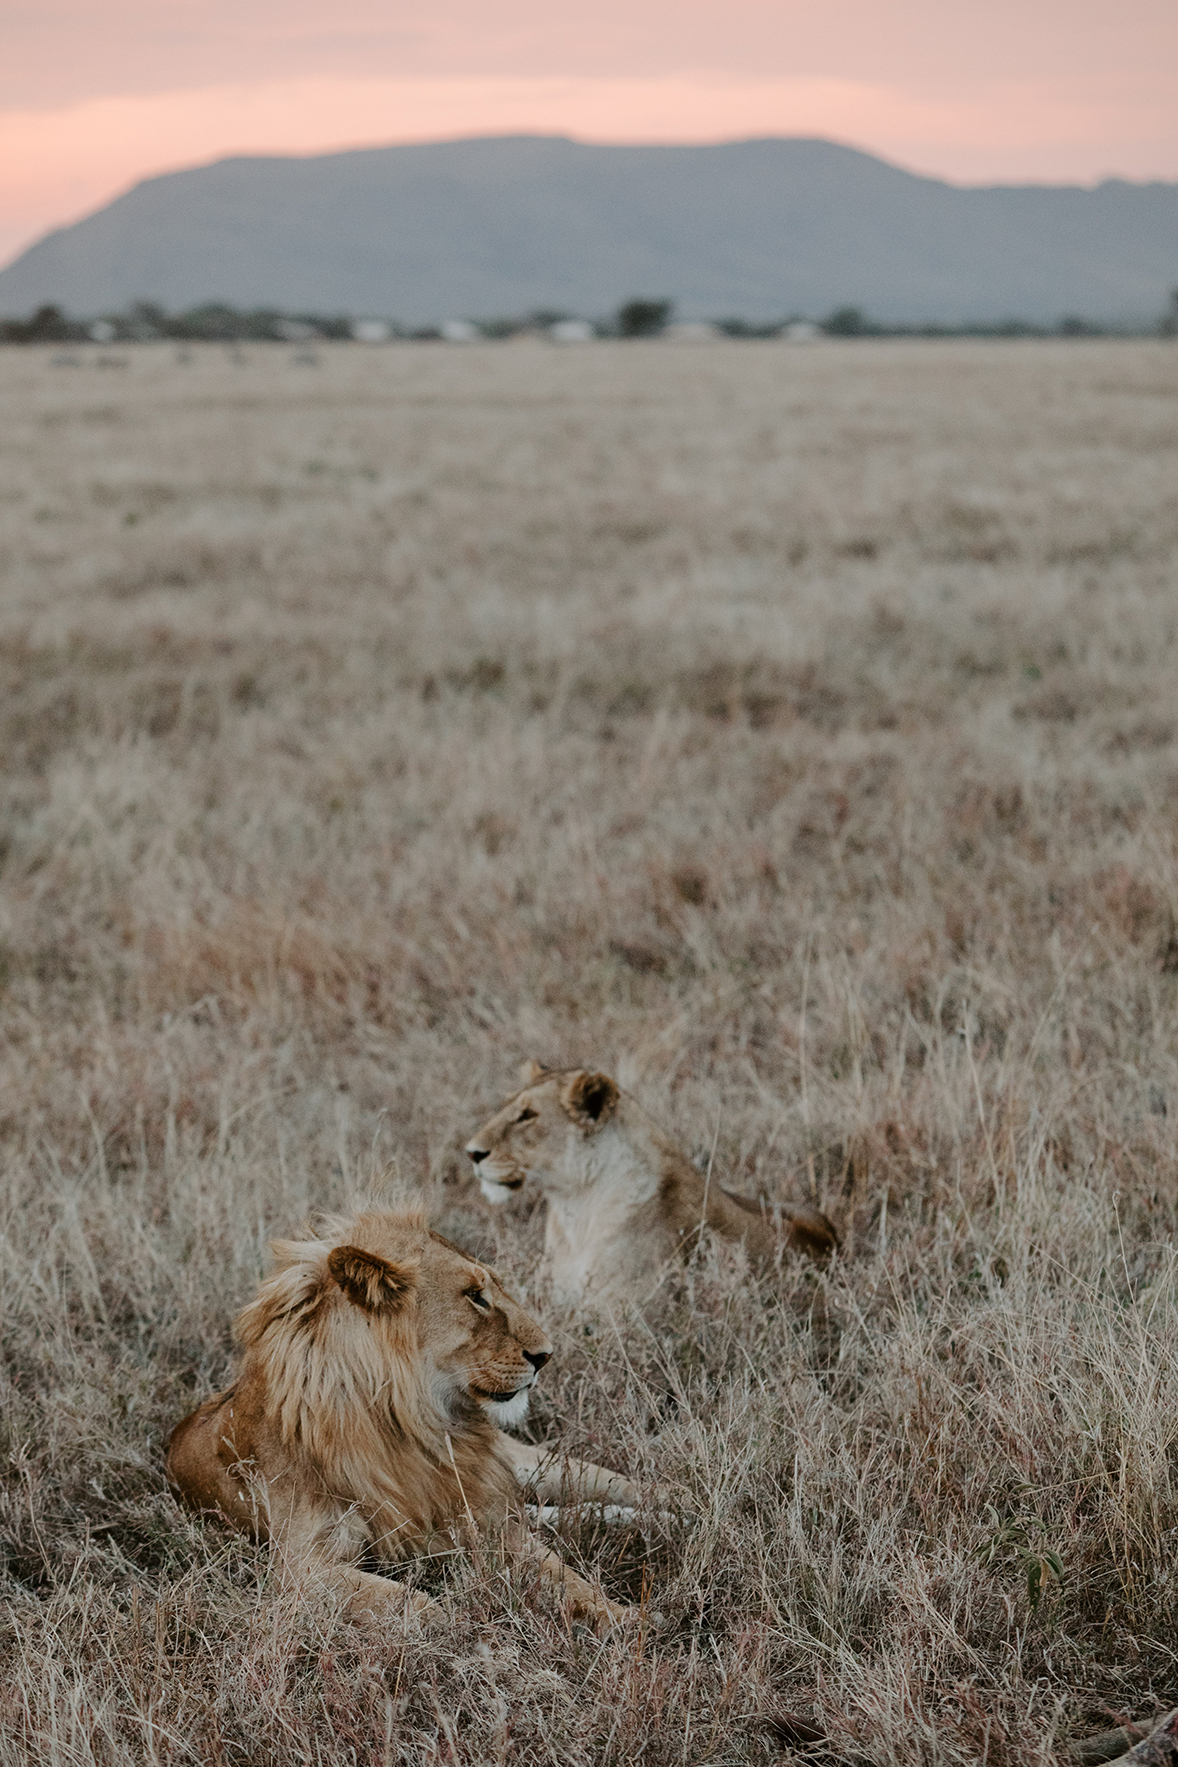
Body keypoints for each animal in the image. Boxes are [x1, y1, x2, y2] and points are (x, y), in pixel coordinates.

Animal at [165, 1205, 642, 1630]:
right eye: (475, 1297)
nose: (546, 1356)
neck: (408, 1424)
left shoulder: (492, 1522)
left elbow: (565, 1575)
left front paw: (625, 1619)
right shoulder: (301, 1567)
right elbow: (414, 1604)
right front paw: (467, 1630)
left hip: (530, 1466)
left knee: (608, 1484)